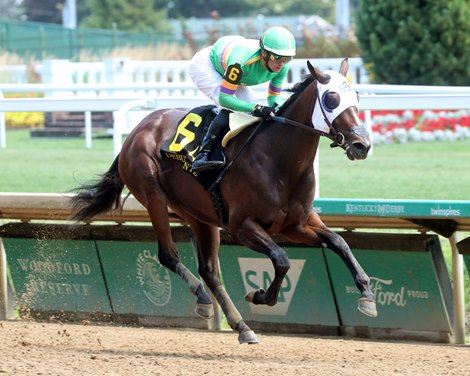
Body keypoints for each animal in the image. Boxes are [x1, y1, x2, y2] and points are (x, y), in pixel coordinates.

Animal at [70, 58, 378, 344]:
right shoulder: (242, 226)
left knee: (209, 270)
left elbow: (339, 242)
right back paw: (204, 297)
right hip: (153, 195)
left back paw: (241, 326)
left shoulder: (296, 224)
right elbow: (281, 259)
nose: (362, 145)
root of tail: (137, 130)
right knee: (169, 255)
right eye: (331, 98)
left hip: (199, 215)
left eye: (357, 96)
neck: (279, 160)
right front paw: (259, 295)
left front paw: (367, 295)